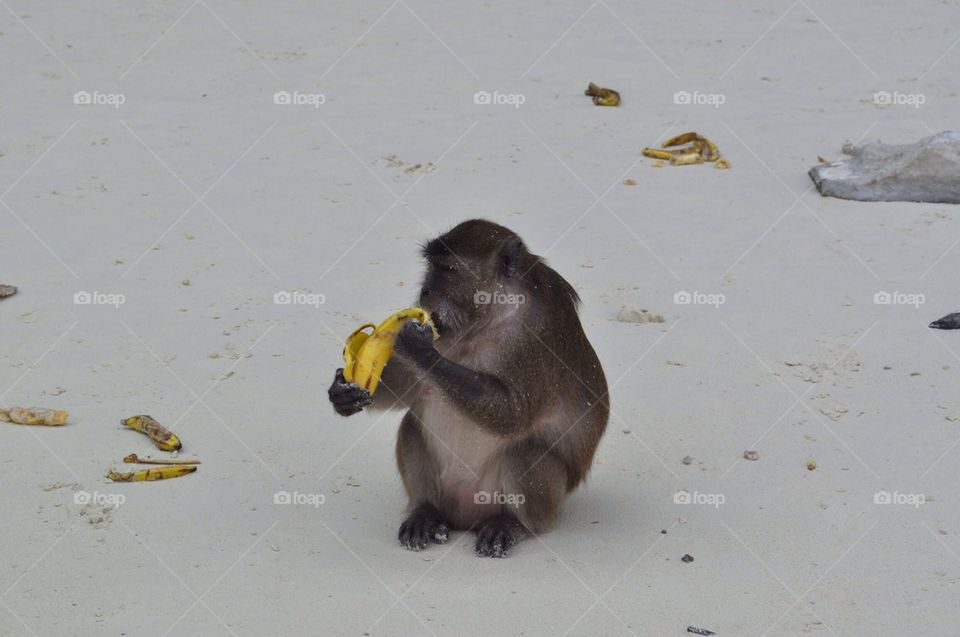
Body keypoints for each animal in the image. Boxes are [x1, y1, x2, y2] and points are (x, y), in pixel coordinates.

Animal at [328, 219, 608, 557]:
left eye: (448, 269)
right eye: (430, 267)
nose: (425, 290)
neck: (489, 317)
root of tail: (464, 518)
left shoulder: (534, 340)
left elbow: (513, 415)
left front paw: (418, 349)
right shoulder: (444, 328)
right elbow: (410, 387)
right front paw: (343, 393)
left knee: (525, 452)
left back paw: (515, 525)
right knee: (412, 426)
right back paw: (425, 511)